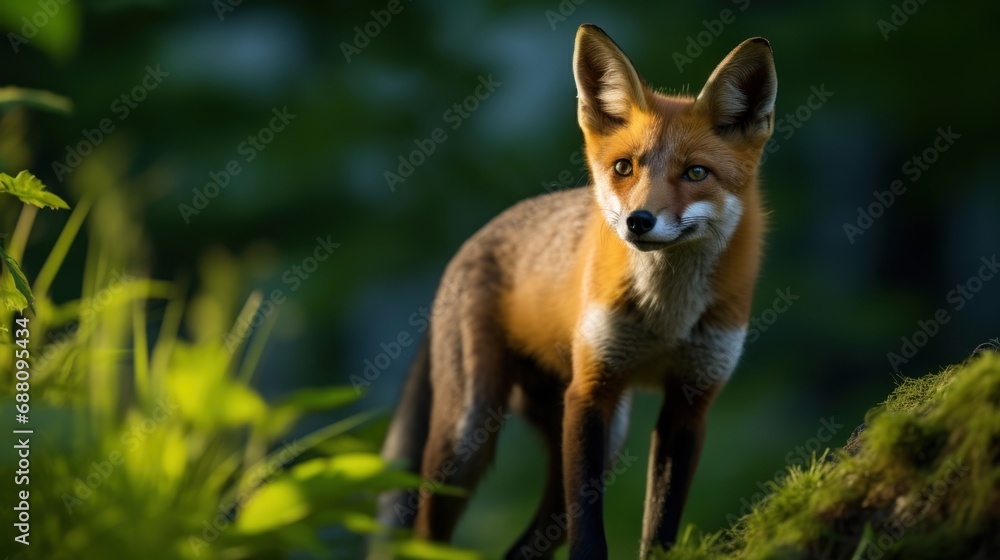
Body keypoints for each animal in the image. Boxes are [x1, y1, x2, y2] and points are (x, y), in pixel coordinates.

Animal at [378, 24, 777, 559]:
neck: (666, 317)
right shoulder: (589, 390)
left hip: (605, 434)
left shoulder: (692, 400)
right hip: (469, 433)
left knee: (519, 551)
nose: (638, 221)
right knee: (426, 531)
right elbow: (590, 535)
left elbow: (662, 524)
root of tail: (473, 240)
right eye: (624, 167)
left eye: (696, 173)